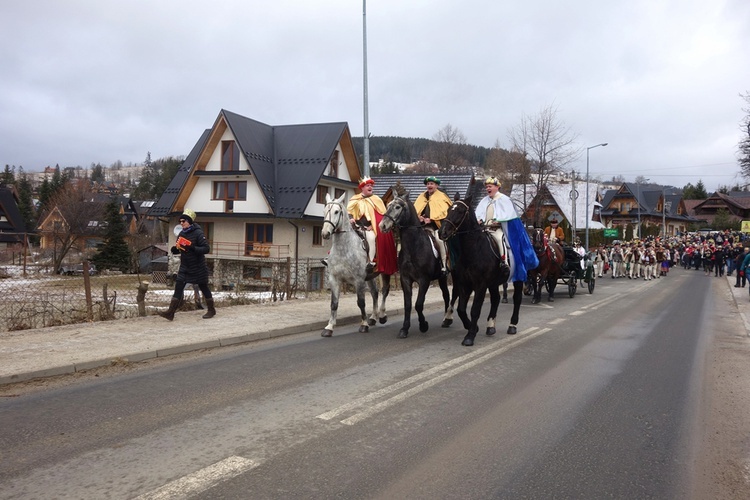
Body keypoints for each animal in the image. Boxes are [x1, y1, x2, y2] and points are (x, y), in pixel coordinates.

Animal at [320, 193, 394, 338]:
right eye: (325, 211)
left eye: (336, 211)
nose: (325, 233)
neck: (344, 249)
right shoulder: (334, 279)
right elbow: (334, 304)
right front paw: (329, 327)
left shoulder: (359, 280)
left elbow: (361, 302)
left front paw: (363, 325)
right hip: (370, 276)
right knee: (375, 293)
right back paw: (373, 317)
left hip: (385, 271)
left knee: (384, 291)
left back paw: (382, 316)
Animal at [378, 193, 456, 338]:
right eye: (388, 205)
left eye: (398, 207)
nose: (383, 225)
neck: (413, 246)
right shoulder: (405, 279)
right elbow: (408, 304)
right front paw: (404, 328)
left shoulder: (424, 280)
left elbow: (418, 304)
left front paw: (423, 325)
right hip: (442, 278)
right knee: (446, 294)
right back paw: (445, 319)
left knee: (451, 294)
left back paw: (448, 319)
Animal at [438, 196, 524, 348]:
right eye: (448, 210)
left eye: (460, 211)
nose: (442, 232)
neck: (473, 250)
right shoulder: (464, 284)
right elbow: (461, 309)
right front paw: (472, 327)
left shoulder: (480, 285)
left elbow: (475, 310)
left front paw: (470, 336)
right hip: (494, 283)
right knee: (496, 299)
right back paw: (490, 326)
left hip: (517, 277)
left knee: (517, 299)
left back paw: (512, 325)